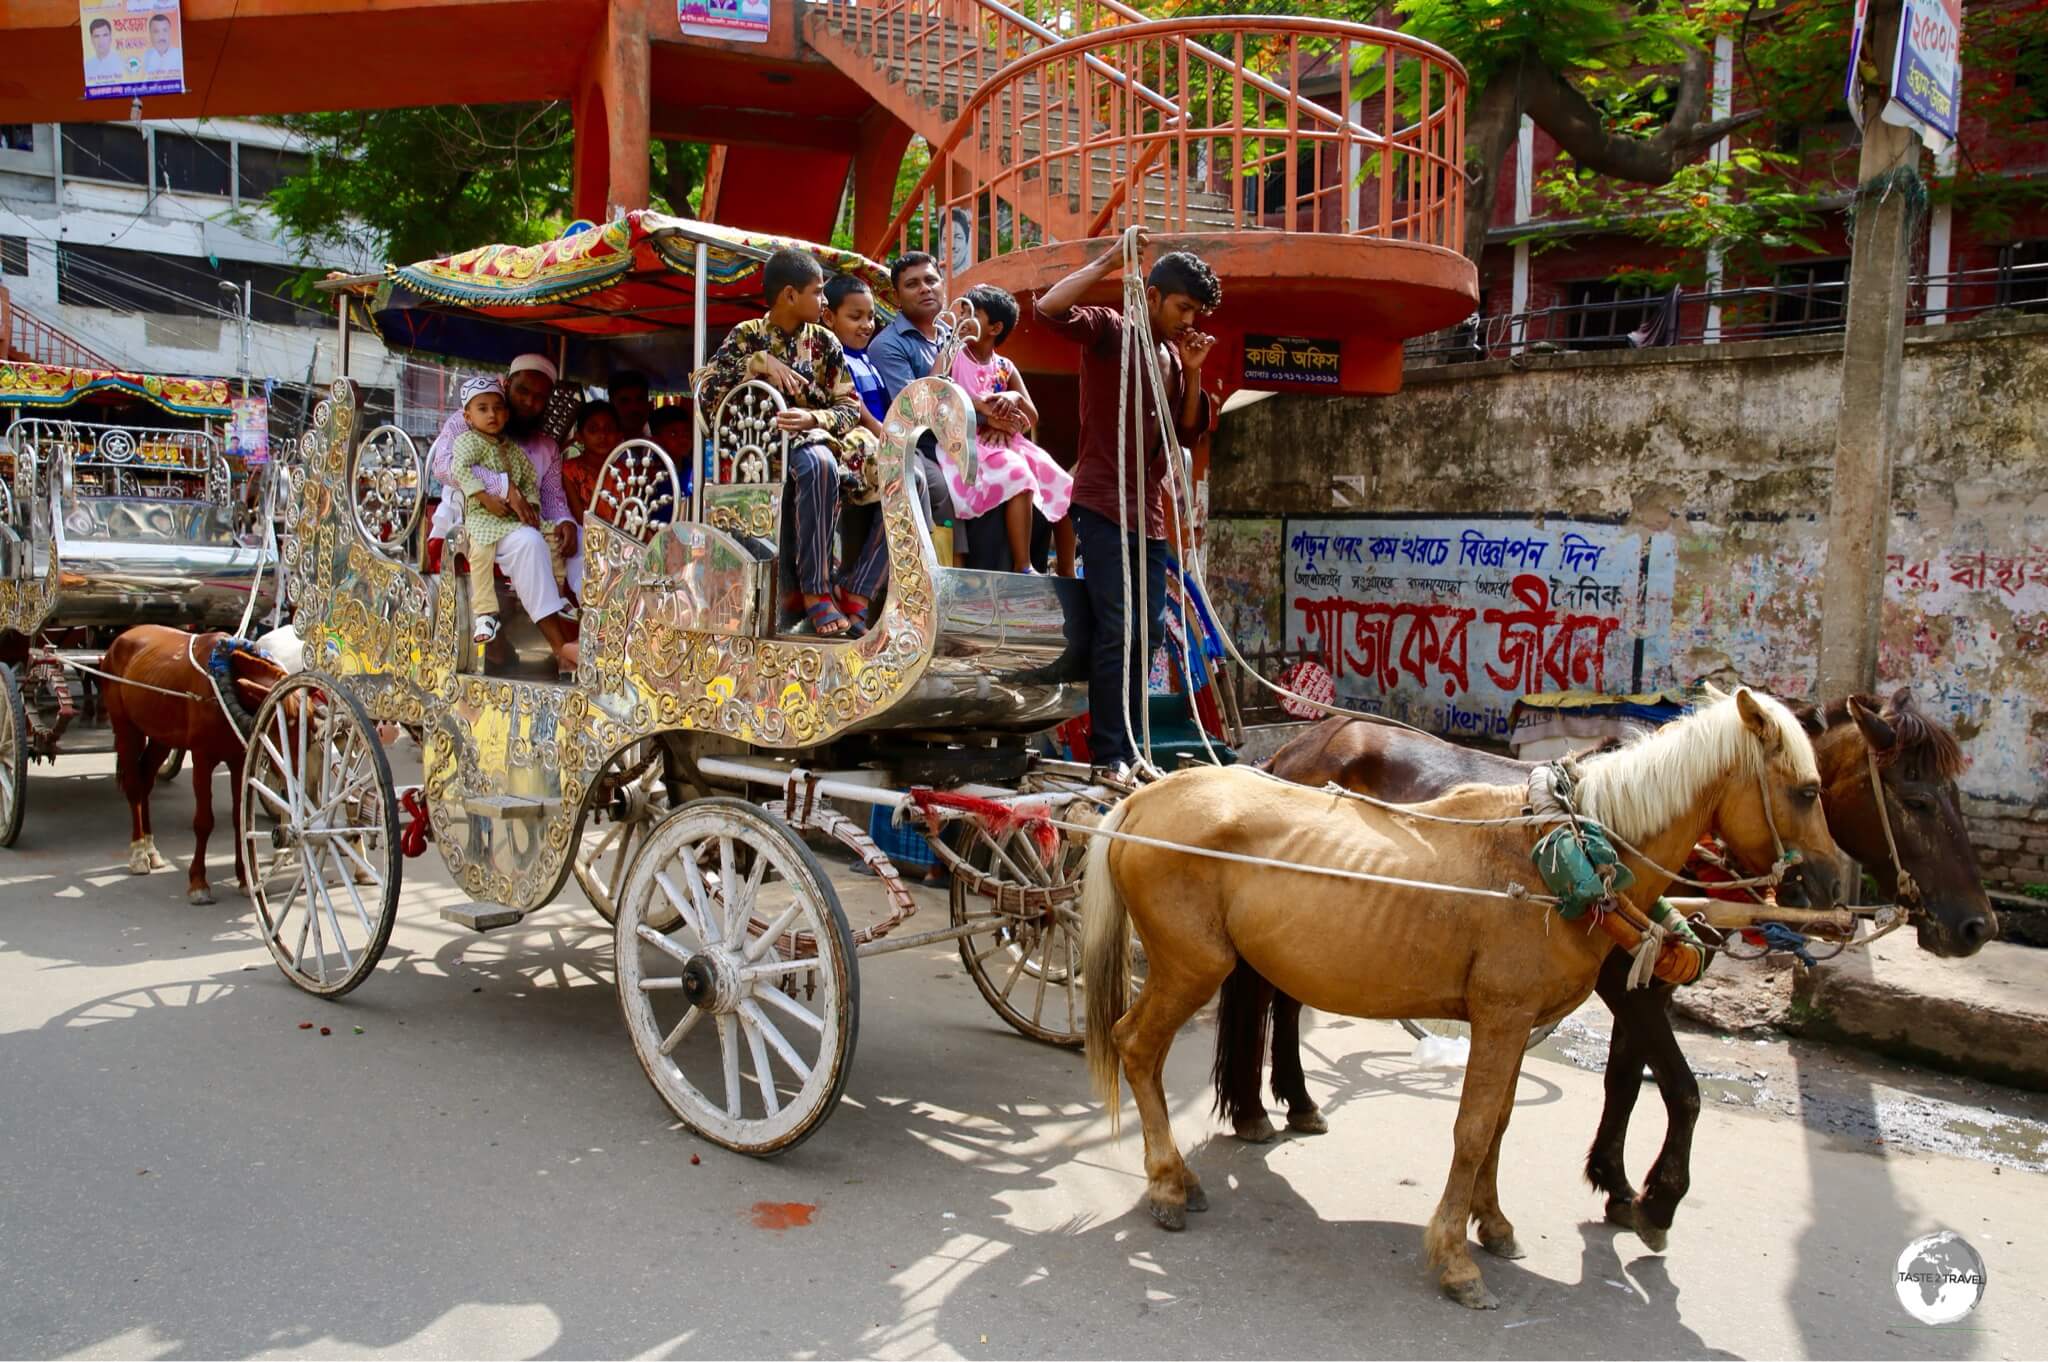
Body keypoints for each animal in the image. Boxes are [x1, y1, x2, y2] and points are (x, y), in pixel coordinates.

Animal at [97, 622, 292, 901]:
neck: (224, 686)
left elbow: (239, 818)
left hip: (161, 735)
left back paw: (151, 849)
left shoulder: (238, 760)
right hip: (126, 728)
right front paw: (198, 882)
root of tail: (121, 638)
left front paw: (244, 878)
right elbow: (203, 821)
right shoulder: (202, 758)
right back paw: (138, 853)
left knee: (145, 781)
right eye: (286, 724)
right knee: (134, 786)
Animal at [1081, 692, 1851, 1310]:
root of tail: (1143, 800)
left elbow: (1504, 1123)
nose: (1833, 892)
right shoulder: (1505, 1017)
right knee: (1136, 1046)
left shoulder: (1521, 1020)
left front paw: (1498, 1224)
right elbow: (1476, 1130)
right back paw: (1168, 1185)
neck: (1561, 854)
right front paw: (1456, 1261)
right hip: (1192, 967)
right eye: (1808, 790)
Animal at [1220, 684, 1990, 1245]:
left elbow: (1624, 1079)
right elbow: (1682, 1090)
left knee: (1286, 996)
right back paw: (1261, 1108)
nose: (1976, 926)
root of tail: (1294, 747)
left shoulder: (1638, 978)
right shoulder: (1631, 987)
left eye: (1959, 795)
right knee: (1263, 996)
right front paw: (1658, 1202)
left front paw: (1615, 1184)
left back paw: (1297, 1102)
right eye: (1917, 800)